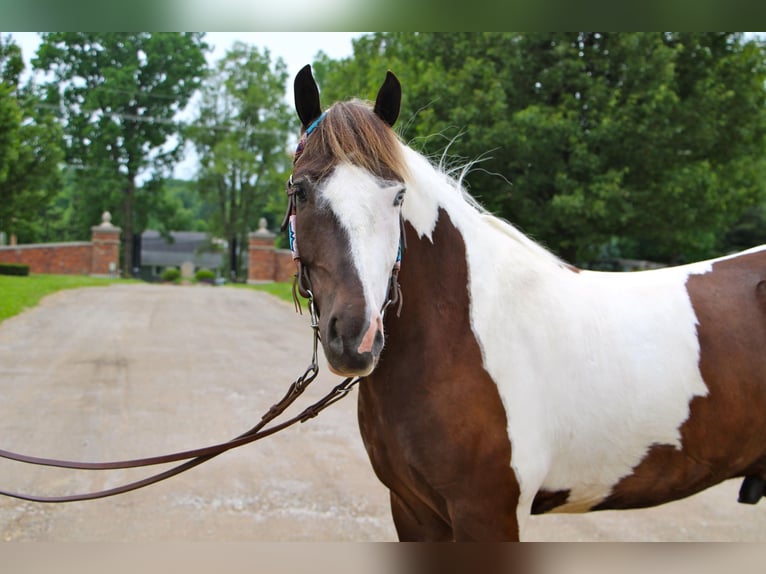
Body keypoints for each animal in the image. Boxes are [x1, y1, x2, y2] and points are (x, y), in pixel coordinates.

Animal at [284, 65, 766, 544]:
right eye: (300, 191)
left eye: (398, 196)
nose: (357, 338)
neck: (459, 336)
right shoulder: (412, 510)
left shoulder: (488, 513)